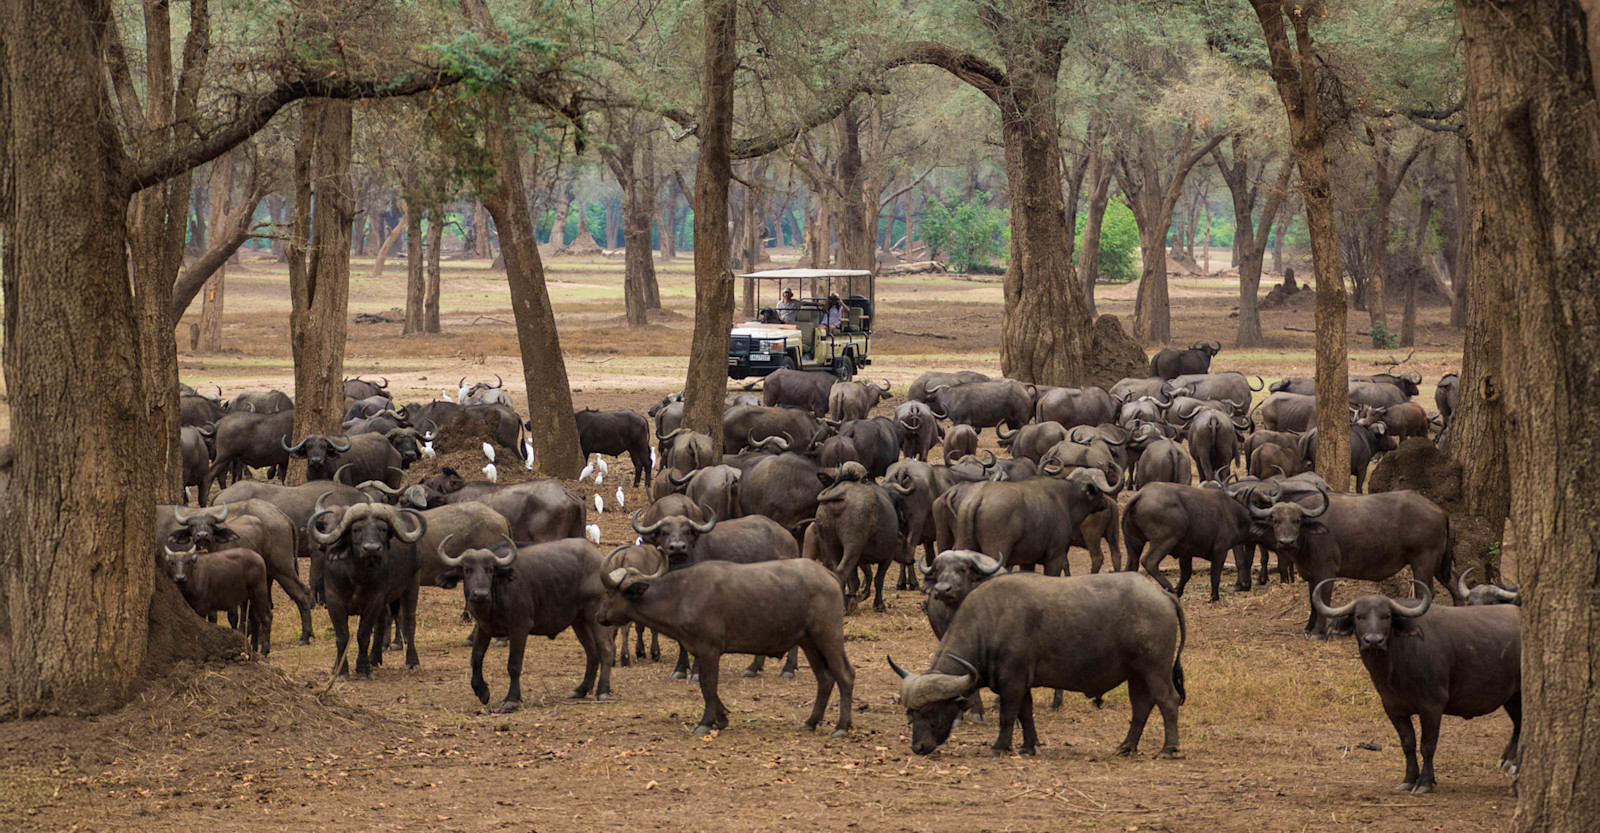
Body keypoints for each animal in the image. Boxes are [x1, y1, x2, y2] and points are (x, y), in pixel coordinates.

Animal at [435, 537, 613, 712]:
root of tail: (599, 559)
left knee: (606, 649)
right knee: (591, 652)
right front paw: (482, 691)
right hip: (579, 621)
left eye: (490, 569)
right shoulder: (483, 628)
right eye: (467, 570)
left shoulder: (519, 627)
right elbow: (476, 658)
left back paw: (602, 691)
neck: (495, 599)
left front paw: (511, 700)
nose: (480, 594)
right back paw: (581, 689)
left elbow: (514, 664)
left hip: (595, 615)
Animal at [599, 558, 855, 736]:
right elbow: (708, 688)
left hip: (828, 636)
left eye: (610, 592)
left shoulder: (709, 650)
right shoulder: (700, 650)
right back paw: (810, 722)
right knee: (824, 678)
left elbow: (707, 685)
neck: (681, 594)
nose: (599, 616)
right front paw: (721, 717)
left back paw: (842, 727)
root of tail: (829, 575)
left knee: (845, 675)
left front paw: (705, 723)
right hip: (808, 642)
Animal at [889, 571, 1185, 757]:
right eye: (910, 713)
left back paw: (1168, 749)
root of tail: (1162, 594)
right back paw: (1126, 746)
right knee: (1141, 707)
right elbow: (1026, 713)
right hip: (1136, 674)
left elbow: (1008, 715)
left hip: (1155, 668)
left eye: (930, 711)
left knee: (1167, 700)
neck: (989, 623)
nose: (919, 747)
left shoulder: (1012, 682)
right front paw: (1028, 746)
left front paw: (999, 747)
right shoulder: (1022, 683)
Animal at [1313, 580, 1521, 794]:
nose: (1373, 641)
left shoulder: (1432, 706)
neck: (1396, 664)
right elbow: (1408, 743)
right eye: (1358, 616)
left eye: (1387, 616)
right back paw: (1508, 762)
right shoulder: (1393, 708)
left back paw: (1514, 771)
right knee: (1518, 723)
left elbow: (1427, 745)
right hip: (1511, 696)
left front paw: (1425, 782)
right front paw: (1409, 779)